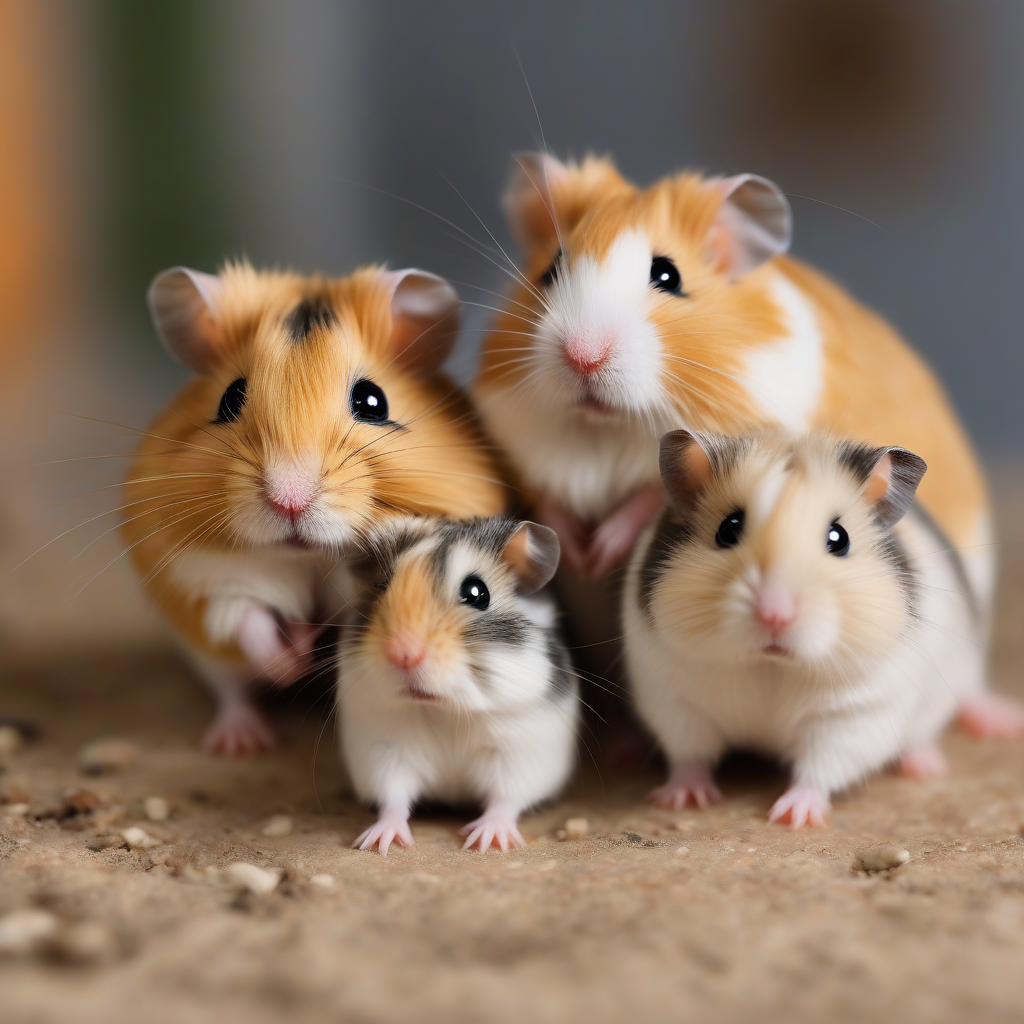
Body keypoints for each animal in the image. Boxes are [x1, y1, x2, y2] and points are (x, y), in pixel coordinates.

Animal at [123, 262, 507, 755]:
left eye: (372, 401)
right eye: (230, 398)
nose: (289, 499)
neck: (308, 557)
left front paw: (311, 642)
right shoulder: (211, 577)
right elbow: (249, 622)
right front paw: (294, 661)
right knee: (232, 691)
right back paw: (242, 743)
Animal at [338, 516, 578, 855]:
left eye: (477, 593)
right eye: (380, 586)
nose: (403, 654)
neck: (446, 711)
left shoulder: (518, 753)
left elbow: (505, 799)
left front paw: (486, 841)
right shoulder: (384, 751)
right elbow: (393, 798)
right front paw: (377, 842)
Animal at [473, 152, 1018, 737]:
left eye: (667, 275)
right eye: (549, 270)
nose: (583, 357)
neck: (605, 429)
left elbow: (647, 493)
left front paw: (601, 551)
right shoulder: (520, 446)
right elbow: (548, 499)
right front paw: (580, 552)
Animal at [623, 428, 989, 828]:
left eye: (839, 538)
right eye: (728, 530)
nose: (774, 615)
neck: (771, 666)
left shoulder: (855, 715)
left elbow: (820, 769)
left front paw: (791, 817)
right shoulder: (676, 701)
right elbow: (689, 755)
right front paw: (681, 800)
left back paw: (938, 760)